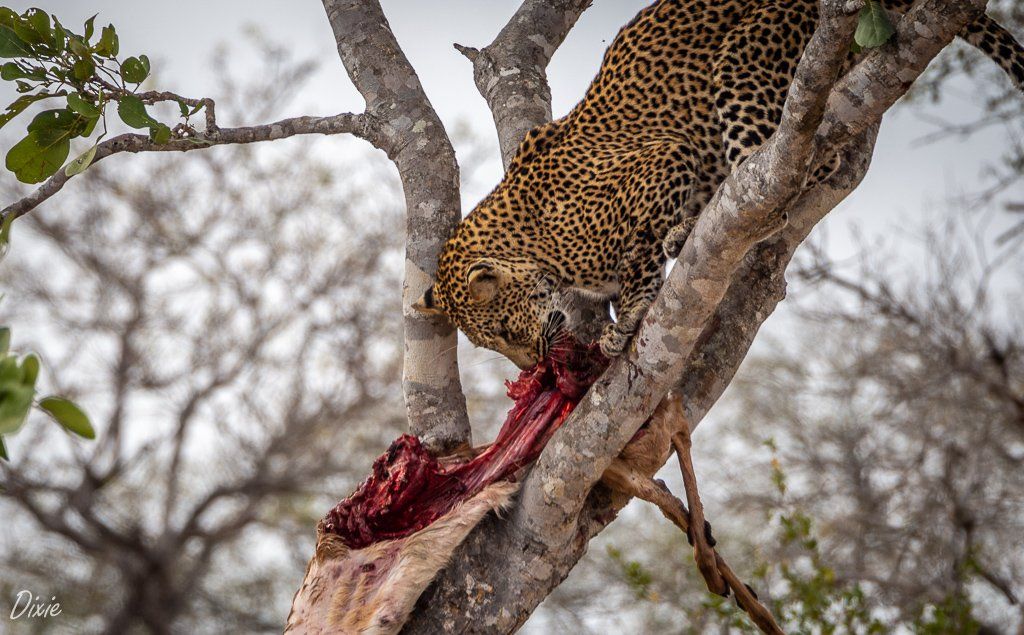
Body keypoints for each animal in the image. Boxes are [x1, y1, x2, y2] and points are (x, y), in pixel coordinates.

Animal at [413, 0, 1024, 366]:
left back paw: (691, 232)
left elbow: (637, 259)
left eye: (503, 331)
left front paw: (628, 314)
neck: (535, 246)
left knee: (778, 176)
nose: (533, 365)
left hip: (745, 62)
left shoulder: (665, 158)